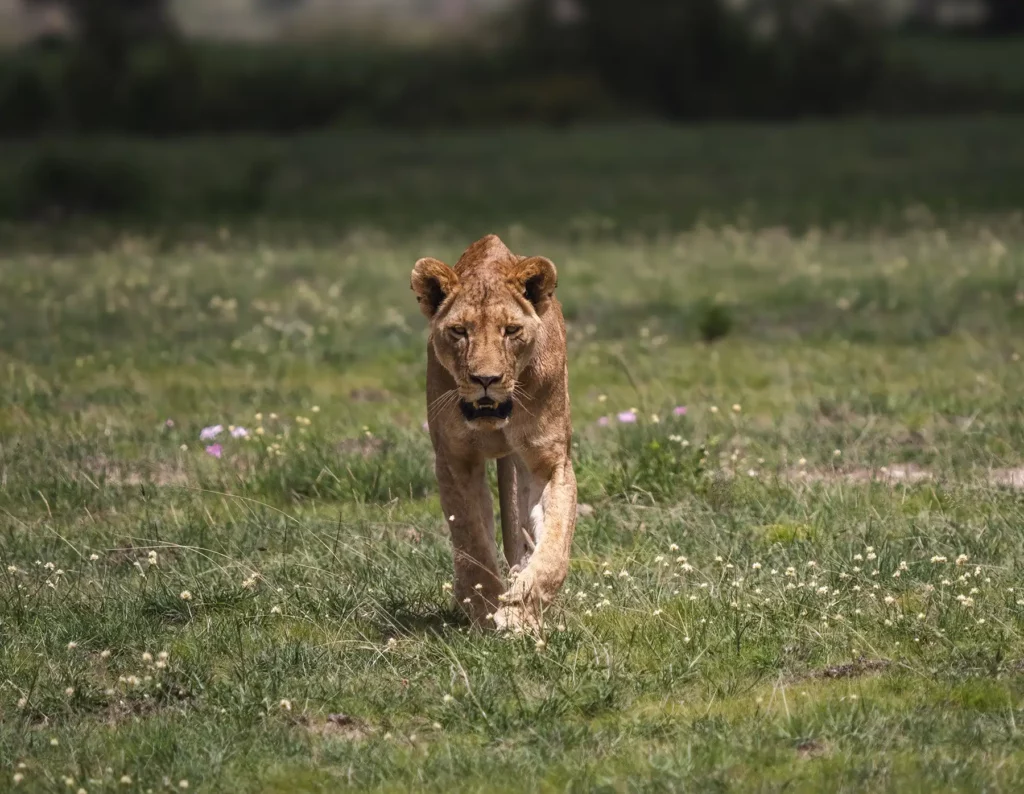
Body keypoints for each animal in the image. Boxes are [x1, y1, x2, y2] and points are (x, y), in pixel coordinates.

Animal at [411, 234, 577, 632]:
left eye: (511, 330)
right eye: (460, 331)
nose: (485, 379)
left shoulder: (550, 462)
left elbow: (554, 547)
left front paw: (518, 612)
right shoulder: (454, 460)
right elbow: (472, 538)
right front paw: (485, 608)